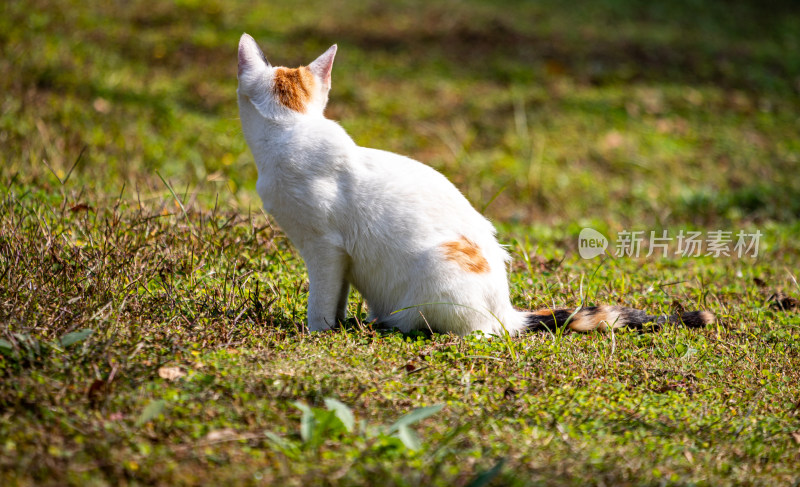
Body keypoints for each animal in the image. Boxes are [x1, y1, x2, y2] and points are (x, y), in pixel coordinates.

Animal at [236, 34, 712, 338]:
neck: (291, 129)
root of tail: (507, 312)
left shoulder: (325, 248)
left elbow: (322, 297)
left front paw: (317, 331)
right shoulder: (341, 259)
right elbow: (336, 297)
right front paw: (336, 323)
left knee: (471, 332)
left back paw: (392, 326)